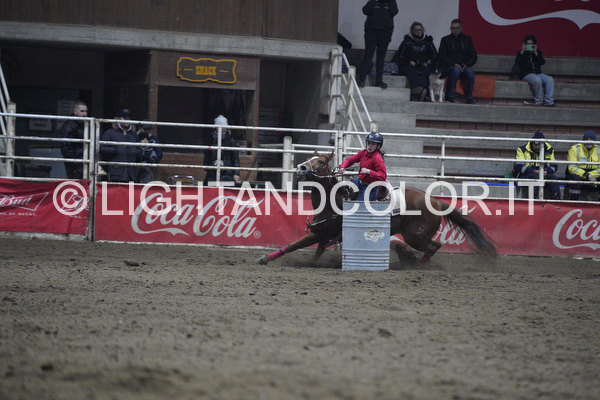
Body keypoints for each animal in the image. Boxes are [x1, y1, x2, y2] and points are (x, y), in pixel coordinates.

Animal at [256, 150, 497, 267]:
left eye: (322, 162)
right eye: (309, 157)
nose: (301, 167)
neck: (334, 200)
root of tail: (435, 200)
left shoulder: (320, 233)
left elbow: (293, 245)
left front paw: (264, 258)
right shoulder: (324, 237)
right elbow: (315, 254)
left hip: (416, 235)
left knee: (433, 246)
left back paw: (416, 264)